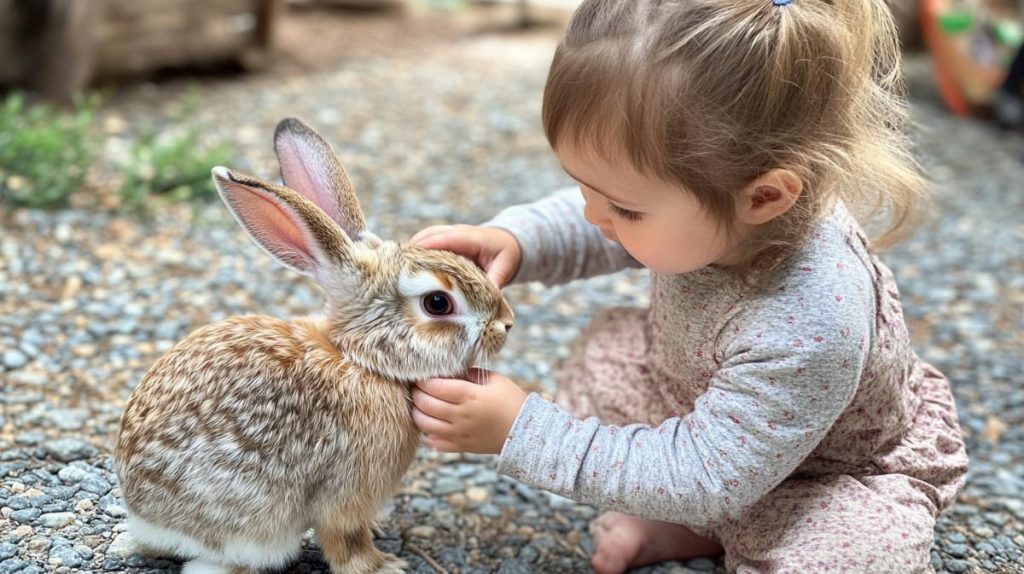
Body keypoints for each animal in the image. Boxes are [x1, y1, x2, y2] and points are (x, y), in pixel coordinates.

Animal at [114, 117, 512, 572]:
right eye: (437, 303)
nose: (506, 324)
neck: (362, 360)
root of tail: (146, 521)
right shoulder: (345, 493)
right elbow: (345, 539)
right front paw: (383, 566)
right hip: (252, 525)